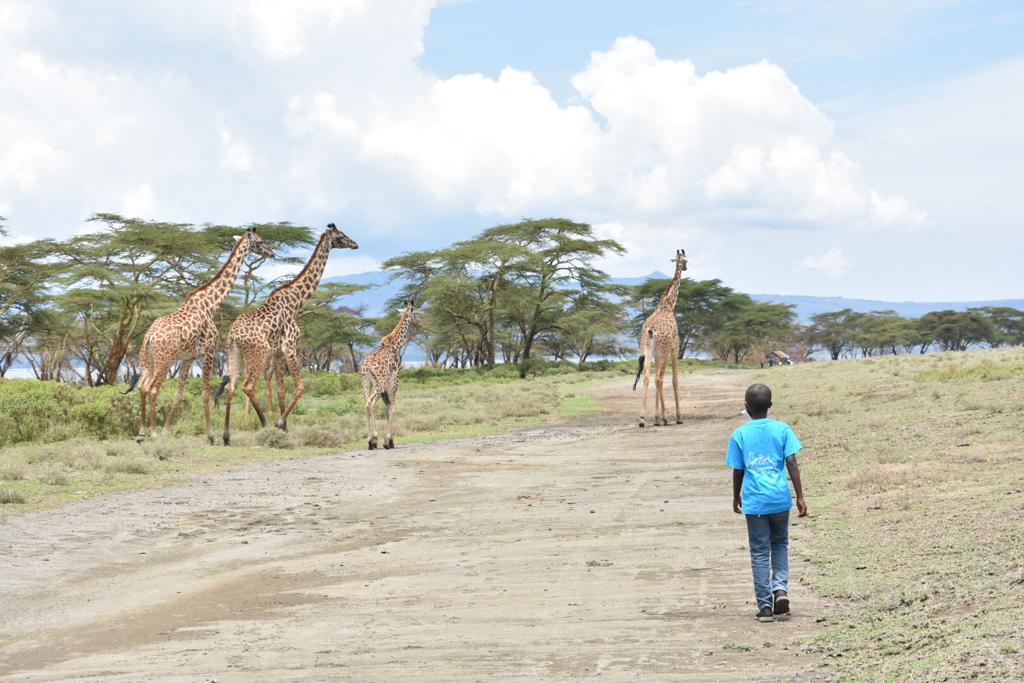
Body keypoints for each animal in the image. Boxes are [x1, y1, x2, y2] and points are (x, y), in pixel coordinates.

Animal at [125, 228, 275, 444]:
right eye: (260, 241)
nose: (272, 253)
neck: (211, 303)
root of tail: (150, 337)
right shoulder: (209, 350)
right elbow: (205, 393)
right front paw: (211, 436)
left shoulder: (188, 358)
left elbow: (178, 395)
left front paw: (166, 431)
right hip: (165, 360)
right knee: (153, 388)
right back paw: (152, 432)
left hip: (147, 360)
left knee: (142, 386)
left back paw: (142, 432)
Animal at [215, 224, 358, 445]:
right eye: (341, 236)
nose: (355, 244)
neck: (296, 302)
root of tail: (233, 335)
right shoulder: (289, 346)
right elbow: (300, 387)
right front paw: (280, 423)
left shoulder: (277, 352)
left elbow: (281, 389)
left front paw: (285, 429)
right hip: (259, 353)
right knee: (248, 386)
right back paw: (265, 424)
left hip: (233, 353)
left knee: (231, 387)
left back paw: (226, 437)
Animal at [360, 300, 417, 450]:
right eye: (415, 312)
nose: (419, 319)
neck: (396, 344)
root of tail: (366, 367)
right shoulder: (395, 376)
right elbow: (392, 405)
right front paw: (388, 441)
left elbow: (387, 406)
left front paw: (388, 440)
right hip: (379, 384)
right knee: (371, 402)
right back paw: (373, 440)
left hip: (366, 383)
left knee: (366, 402)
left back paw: (370, 441)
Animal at [633, 249, 688, 428]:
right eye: (685, 260)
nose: (685, 267)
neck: (668, 305)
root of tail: (651, 331)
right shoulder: (675, 347)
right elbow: (675, 379)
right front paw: (677, 416)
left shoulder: (656, 353)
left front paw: (655, 417)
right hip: (663, 351)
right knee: (659, 379)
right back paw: (665, 418)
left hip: (647, 350)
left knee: (647, 378)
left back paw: (642, 418)